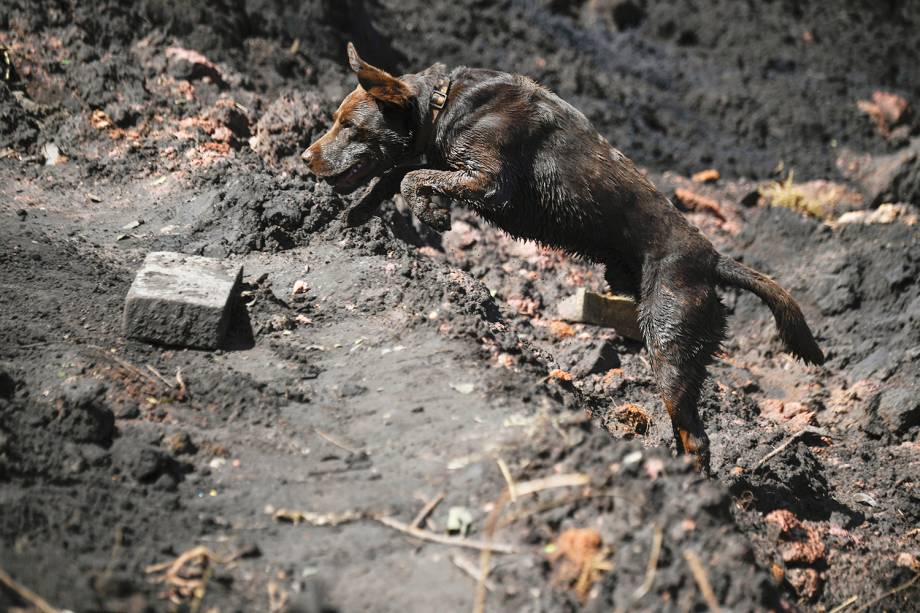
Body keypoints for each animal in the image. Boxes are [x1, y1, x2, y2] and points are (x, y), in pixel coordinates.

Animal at [304, 44, 828, 474]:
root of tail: (712, 258)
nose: (305, 157)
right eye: (335, 121)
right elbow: (397, 174)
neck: (443, 101)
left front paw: (430, 211)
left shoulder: (491, 184)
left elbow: (414, 176)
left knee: (696, 438)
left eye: (349, 126)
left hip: (669, 339)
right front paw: (355, 215)